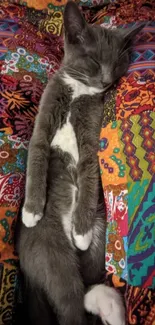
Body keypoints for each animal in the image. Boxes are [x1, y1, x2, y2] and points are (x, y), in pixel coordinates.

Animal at [18, 2, 144, 324]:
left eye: (118, 64)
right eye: (95, 61)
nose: (107, 81)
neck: (79, 91)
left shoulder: (91, 133)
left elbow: (88, 172)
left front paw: (82, 232)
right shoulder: (45, 114)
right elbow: (37, 155)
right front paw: (31, 211)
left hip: (99, 237)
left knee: (85, 294)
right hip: (52, 253)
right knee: (71, 303)